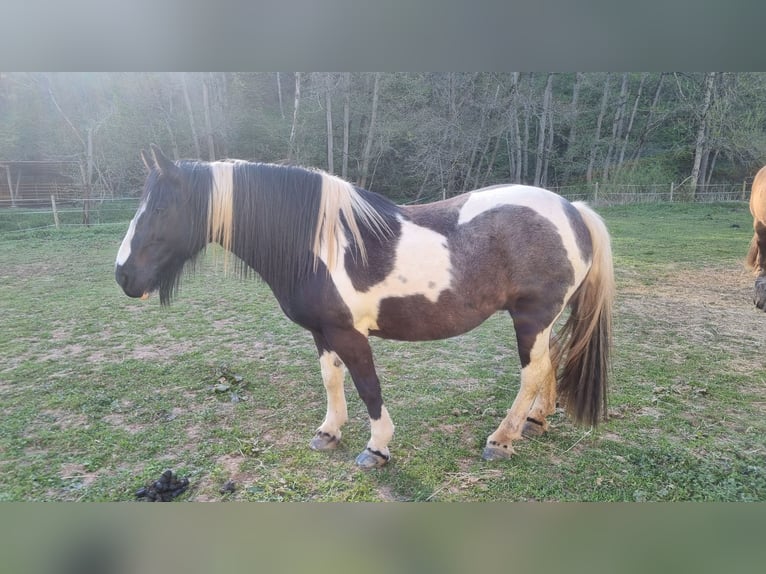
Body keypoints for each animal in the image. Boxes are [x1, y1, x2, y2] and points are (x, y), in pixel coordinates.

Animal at [115, 145, 615, 468]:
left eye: (159, 209)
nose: (122, 275)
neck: (318, 244)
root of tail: (572, 209)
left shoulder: (350, 334)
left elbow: (368, 387)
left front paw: (377, 448)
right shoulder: (322, 332)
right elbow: (331, 380)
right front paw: (329, 432)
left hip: (531, 318)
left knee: (532, 373)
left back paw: (501, 439)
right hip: (540, 321)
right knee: (547, 367)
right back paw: (534, 422)